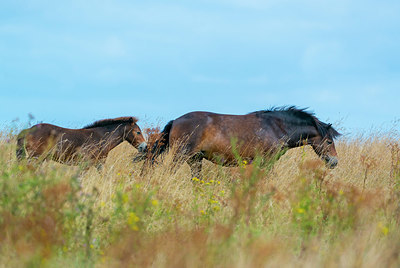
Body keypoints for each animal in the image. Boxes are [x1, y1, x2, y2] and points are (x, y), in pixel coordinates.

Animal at [16, 116, 147, 169]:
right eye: (138, 132)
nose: (144, 147)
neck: (101, 138)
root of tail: (27, 131)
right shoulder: (86, 164)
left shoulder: (98, 164)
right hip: (35, 157)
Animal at [147, 107, 340, 178]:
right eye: (329, 142)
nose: (334, 162)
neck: (275, 127)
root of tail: (175, 121)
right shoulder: (266, 161)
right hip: (181, 156)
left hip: (195, 159)